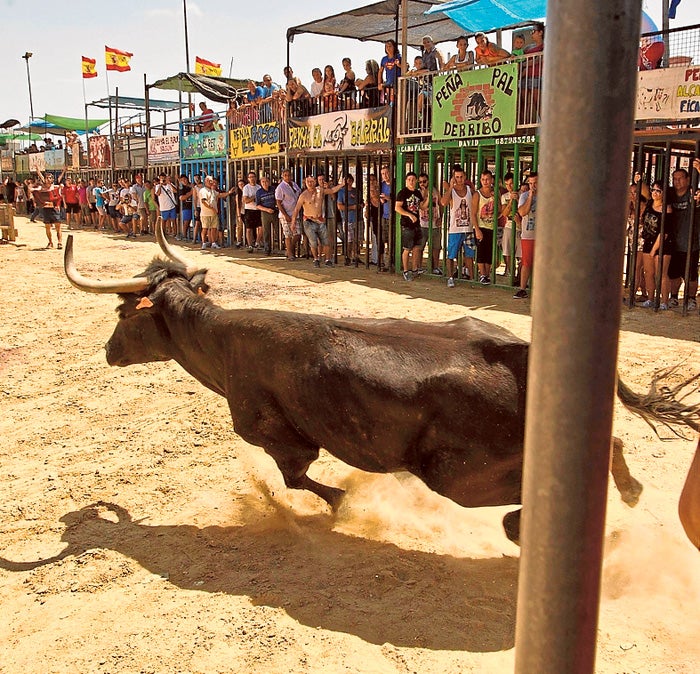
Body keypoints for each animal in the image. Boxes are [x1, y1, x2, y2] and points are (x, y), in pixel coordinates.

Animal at [63, 226, 664, 540]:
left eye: (122, 313)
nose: (108, 352)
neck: (221, 339)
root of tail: (523, 353)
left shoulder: (278, 437)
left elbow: (297, 480)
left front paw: (341, 505)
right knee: (612, 443)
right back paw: (631, 495)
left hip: (458, 477)